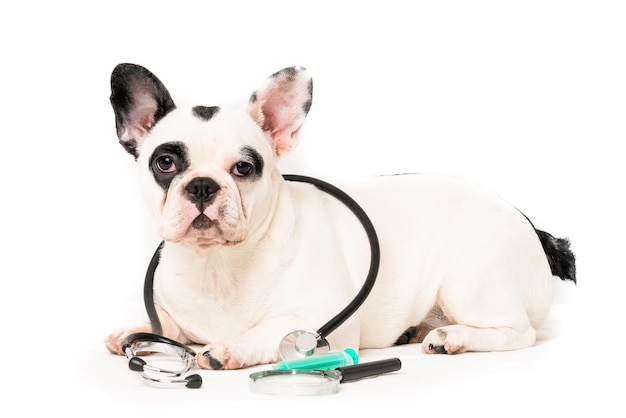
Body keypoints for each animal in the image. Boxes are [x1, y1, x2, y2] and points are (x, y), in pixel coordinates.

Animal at [103, 63, 576, 370]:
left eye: (244, 168)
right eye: (165, 163)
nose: (202, 185)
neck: (216, 264)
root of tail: (528, 222)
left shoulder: (324, 319)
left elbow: (273, 330)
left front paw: (231, 346)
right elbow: (165, 323)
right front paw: (132, 329)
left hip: (472, 281)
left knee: (517, 332)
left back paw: (453, 337)